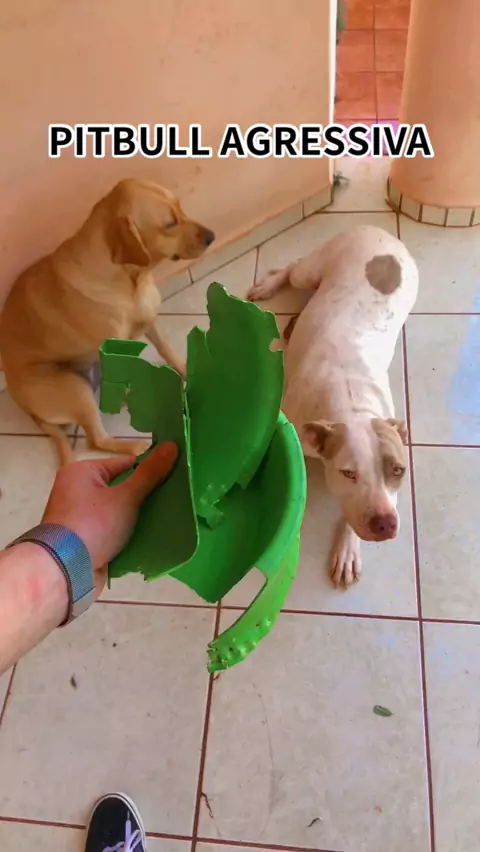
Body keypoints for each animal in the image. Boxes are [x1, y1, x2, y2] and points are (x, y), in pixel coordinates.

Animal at [0, 178, 214, 466]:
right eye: (170, 224)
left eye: (180, 207)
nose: (212, 236)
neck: (129, 279)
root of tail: (22, 404)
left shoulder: (149, 320)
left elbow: (167, 350)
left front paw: (184, 371)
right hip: (74, 387)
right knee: (95, 439)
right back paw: (135, 445)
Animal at [248, 225, 418, 587]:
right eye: (348, 473)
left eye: (398, 470)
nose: (385, 522)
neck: (352, 403)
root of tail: (379, 231)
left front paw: (347, 550)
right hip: (310, 271)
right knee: (293, 268)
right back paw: (268, 285)